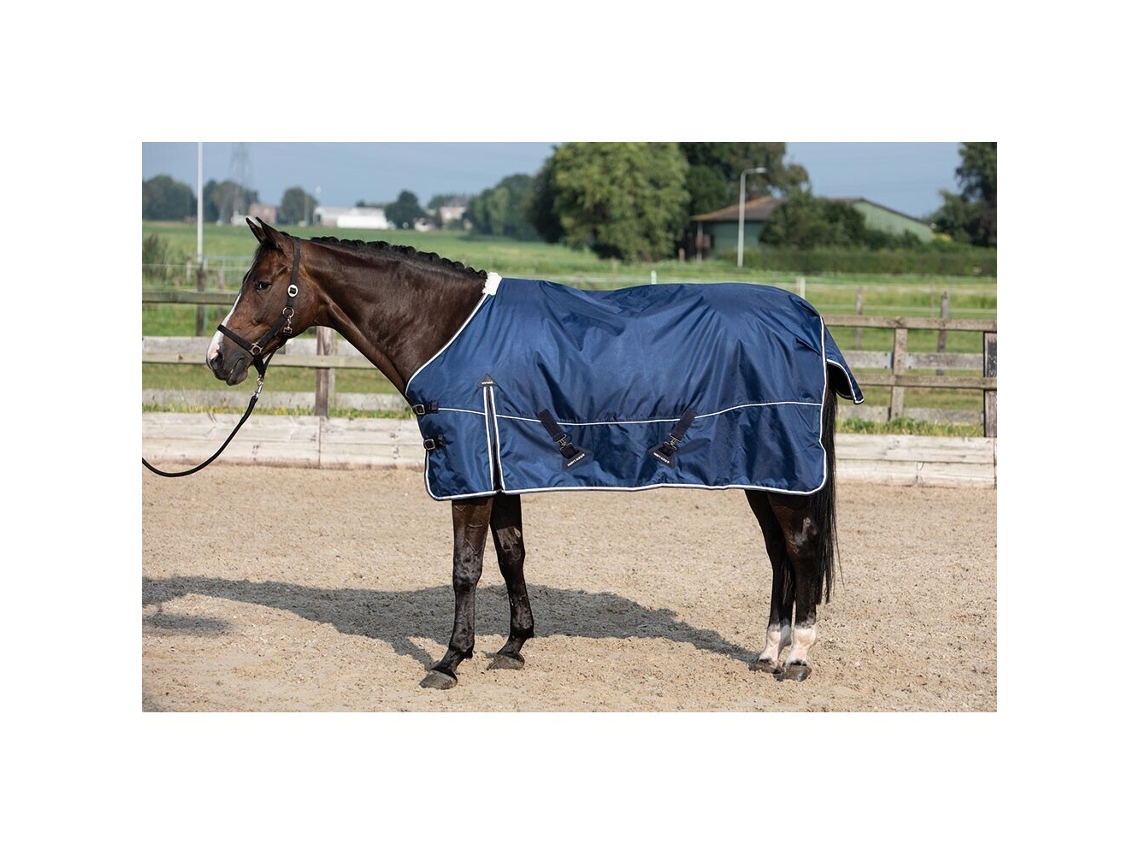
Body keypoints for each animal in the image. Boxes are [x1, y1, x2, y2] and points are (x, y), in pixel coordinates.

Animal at [207, 218, 863, 689]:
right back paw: (768, 651)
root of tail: (811, 322)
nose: (220, 358)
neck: (446, 328)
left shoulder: (469, 472)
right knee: (779, 554)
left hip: (784, 471)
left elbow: (466, 569)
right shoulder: (502, 468)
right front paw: (513, 646)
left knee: (801, 548)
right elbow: (511, 556)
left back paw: (797, 658)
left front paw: (450, 660)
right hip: (765, 471)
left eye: (260, 284)